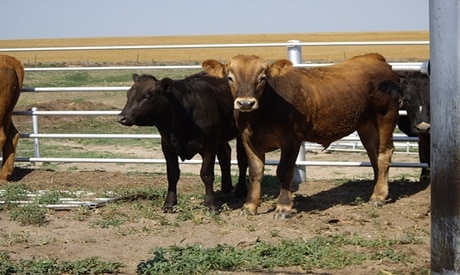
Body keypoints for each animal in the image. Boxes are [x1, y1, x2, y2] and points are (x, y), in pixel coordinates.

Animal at [118, 72, 248, 212]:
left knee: (242, 161)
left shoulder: (209, 144)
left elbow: (206, 174)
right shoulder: (167, 146)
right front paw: (169, 203)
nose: (121, 117)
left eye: (147, 96)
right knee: (225, 155)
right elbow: (172, 174)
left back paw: (240, 191)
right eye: (128, 94)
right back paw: (226, 188)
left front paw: (211, 205)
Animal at [205, 52, 402, 219]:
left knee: (384, 153)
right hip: (366, 125)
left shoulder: (291, 139)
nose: (246, 103)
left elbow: (284, 171)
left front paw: (283, 207)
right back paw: (379, 187)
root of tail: (376, 59)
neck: (261, 114)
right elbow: (255, 172)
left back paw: (378, 196)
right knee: (374, 153)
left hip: (385, 116)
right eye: (230, 78)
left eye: (262, 78)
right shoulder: (248, 140)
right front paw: (249, 206)